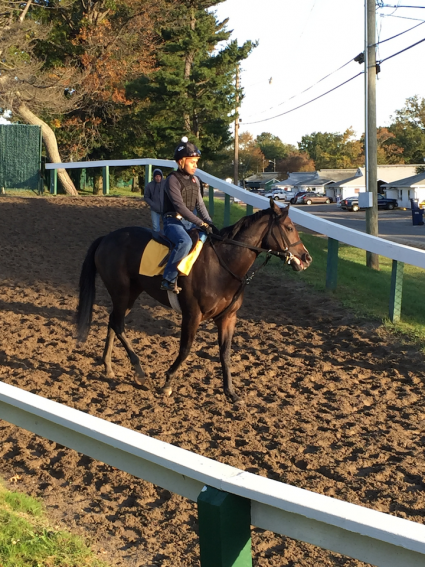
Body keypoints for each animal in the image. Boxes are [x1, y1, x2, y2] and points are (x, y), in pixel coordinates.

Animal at [76, 200, 312, 404]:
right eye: (289, 227)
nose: (306, 258)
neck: (223, 265)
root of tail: (106, 237)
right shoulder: (192, 314)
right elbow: (185, 349)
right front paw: (168, 383)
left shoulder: (228, 317)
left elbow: (225, 354)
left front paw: (231, 393)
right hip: (121, 291)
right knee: (117, 324)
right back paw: (139, 370)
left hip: (130, 294)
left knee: (113, 321)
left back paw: (108, 366)